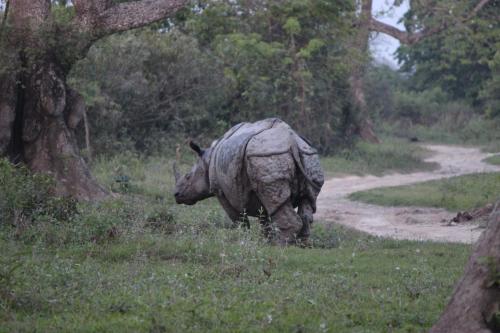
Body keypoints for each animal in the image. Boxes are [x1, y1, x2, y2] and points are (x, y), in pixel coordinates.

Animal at [175, 118, 324, 245]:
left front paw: (243, 240)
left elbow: (239, 219)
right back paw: (302, 244)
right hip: (306, 156)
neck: (207, 159)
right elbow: (265, 219)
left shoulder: (221, 191)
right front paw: (266, 242)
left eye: (188, 177)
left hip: (267, 156)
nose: (176, 195)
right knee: (305, 201)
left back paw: (281, 245)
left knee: (276, 201)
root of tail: (292, 141)